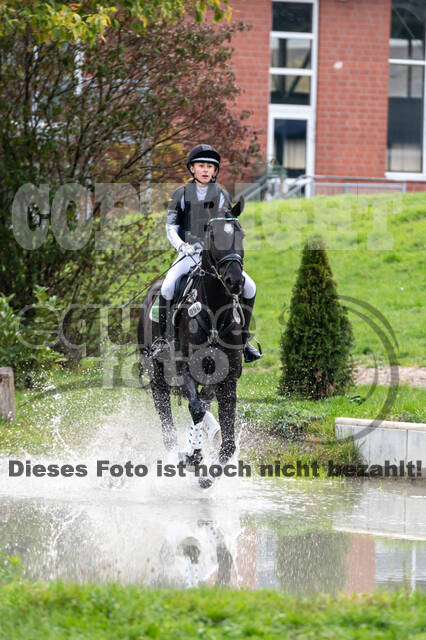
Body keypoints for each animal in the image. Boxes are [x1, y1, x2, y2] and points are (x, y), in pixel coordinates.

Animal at [137, 200, 246, 487]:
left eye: (240, 235)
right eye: (212, 236)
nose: (235, 281)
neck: (215, 312)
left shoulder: (228, 377)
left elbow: (227, 441)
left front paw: (208, 471)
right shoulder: (185, 367)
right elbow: (196, 408)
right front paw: (193, 456)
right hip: (158, 373)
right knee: (166, 414)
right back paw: (176, 452)